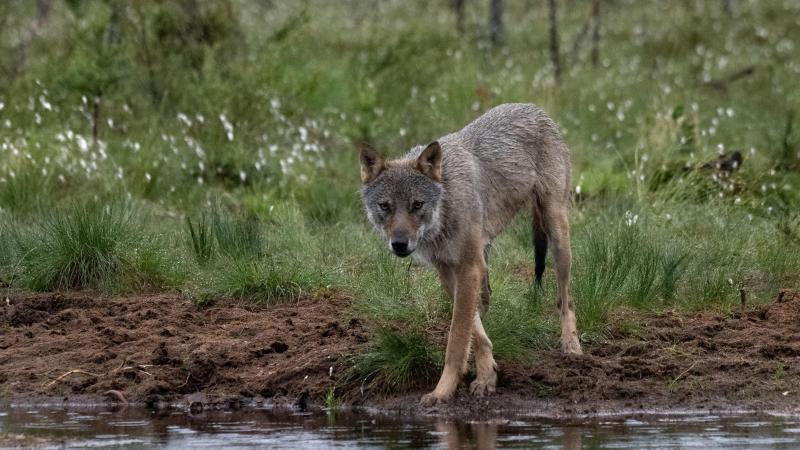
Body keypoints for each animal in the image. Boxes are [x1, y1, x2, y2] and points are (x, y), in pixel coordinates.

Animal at [359, 103, 581, 406]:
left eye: (417, 204)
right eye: (385, 206)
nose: (400, 244)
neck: (446, 206)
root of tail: (534, 107)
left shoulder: (468, 267)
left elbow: (456, 340)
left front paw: (442, 391)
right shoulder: (449, 270)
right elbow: (473, 332)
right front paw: (487, 375)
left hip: (557, 233)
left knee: (565, 297)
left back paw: (571, 345)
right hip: (487, 258)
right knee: (487, 300)